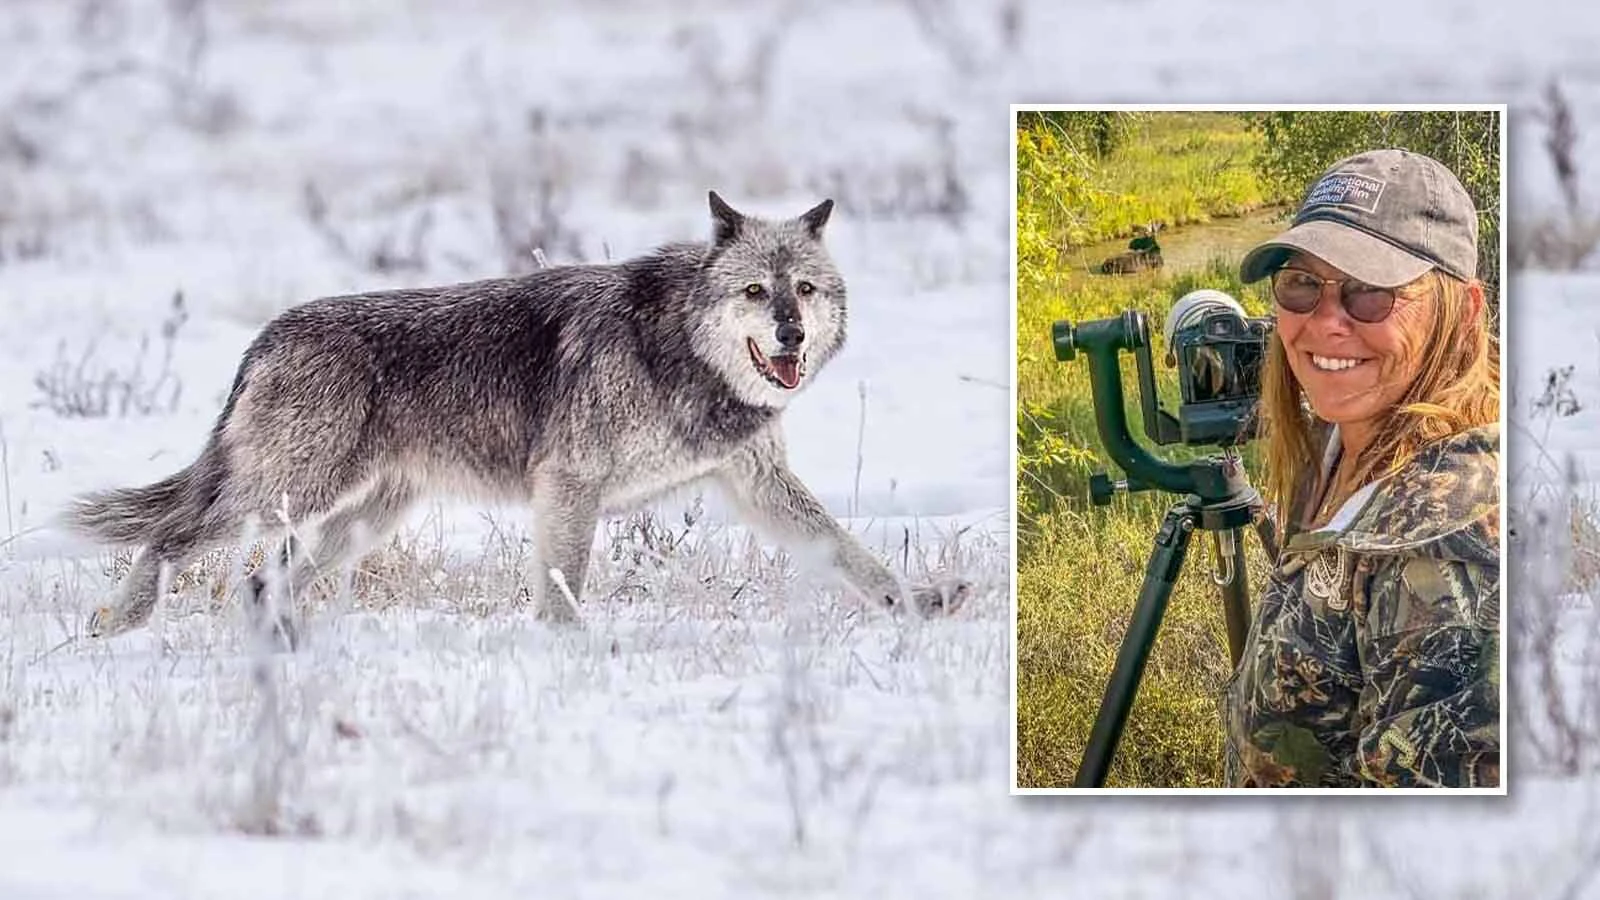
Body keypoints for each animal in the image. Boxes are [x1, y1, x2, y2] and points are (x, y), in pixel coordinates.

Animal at [68, 192, 966, 645]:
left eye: (804, 289)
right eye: (754, 291)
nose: (791, 334)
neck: (677, 347)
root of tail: (267, 335)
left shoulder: (758, 486)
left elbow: (850, 553)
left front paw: (918, 605)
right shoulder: (569, 486)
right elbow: (564, 587)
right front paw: (570, 653)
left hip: (360, 520)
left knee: (260, 584)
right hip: (288, 495)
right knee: (172, 540)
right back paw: (119, 623)